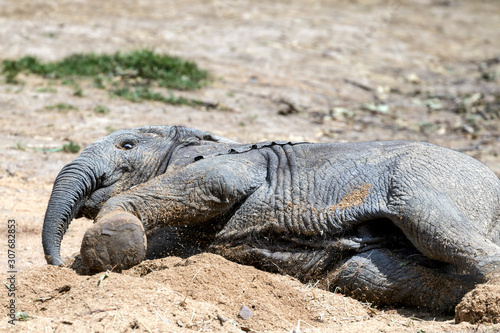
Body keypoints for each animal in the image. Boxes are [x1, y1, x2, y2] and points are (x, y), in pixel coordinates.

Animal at [43, 126, 500, 320]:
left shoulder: (235, 164)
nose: (57, 265)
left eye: (127, 145)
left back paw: (484, 307)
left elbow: (215, 182)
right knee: (367, 275)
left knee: (435, 229)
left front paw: (105, 245)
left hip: (424, 181)